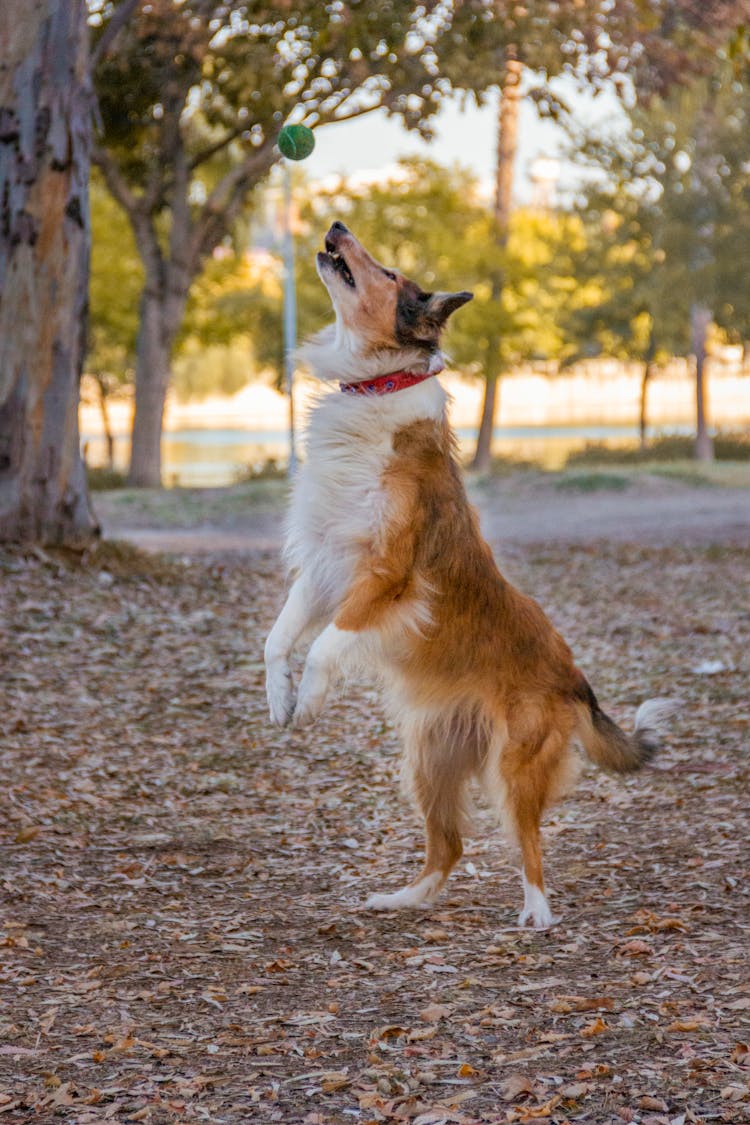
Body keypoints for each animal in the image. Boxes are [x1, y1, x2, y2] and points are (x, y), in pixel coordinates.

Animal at [265, 221, 674, 931]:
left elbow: (324, 646)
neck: (380, 387)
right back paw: (403, 897)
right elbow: (278, 639)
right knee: (448, 847)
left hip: (513, 764)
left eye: (390, 272)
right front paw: (278, 700)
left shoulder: (387, 579)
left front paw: (310, 700)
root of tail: (578, 681)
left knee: (528, 841)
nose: (337, 227)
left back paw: (537, 912)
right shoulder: (322, 567)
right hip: (428, 761)